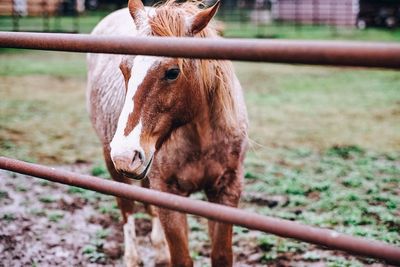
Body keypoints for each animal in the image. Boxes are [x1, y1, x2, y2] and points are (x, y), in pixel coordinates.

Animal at [86, 1, 247, 266]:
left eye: (173, 72)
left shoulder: (227, 191)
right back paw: (132, 257)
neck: (201, 139)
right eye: (123, 68)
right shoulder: (168, 194)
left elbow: (221, 255)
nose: (125, 156)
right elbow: (181, 257)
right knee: (126, 207)